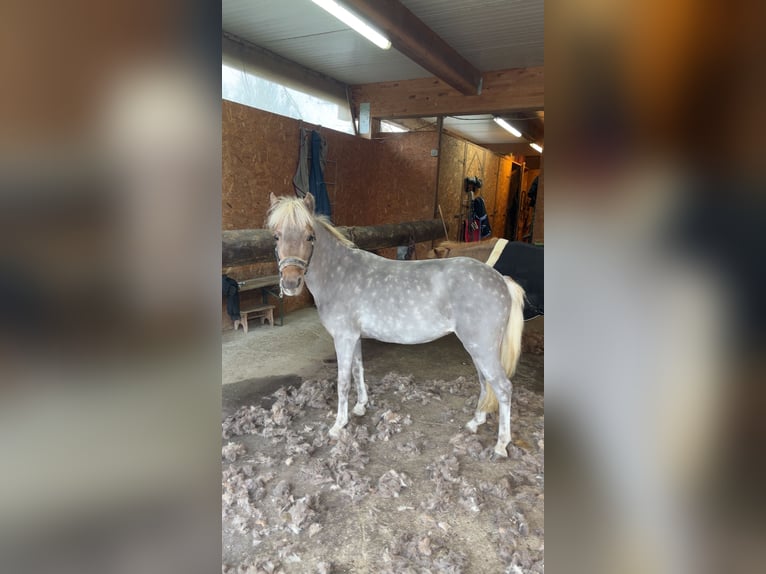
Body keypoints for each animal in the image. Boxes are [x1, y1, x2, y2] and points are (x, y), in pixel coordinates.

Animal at [267, 192, 525, 457]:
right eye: (276, 236)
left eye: (310, 236)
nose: (290, 283)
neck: (339, 274)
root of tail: (502, 281)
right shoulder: (354, 337)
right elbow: (359, 371)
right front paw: (360, 407)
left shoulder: (344, 338)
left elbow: (343, 382)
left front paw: (339, 425)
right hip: (478, 349)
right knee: (486, 382)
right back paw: (475, 422)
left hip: (482, 348)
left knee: (503, 387)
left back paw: (501, 445)